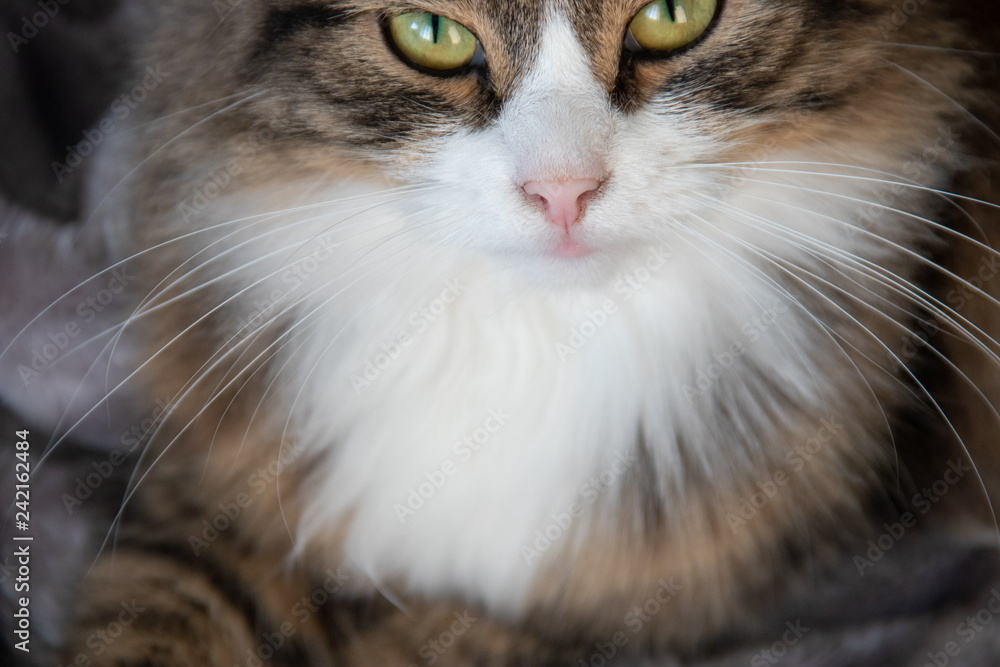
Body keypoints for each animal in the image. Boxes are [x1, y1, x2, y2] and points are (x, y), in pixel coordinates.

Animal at [1, 0, 1000, 664]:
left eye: (674, 13)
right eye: (430, 33)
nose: (562, 190)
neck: (529, 339)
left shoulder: (611, 603)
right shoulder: (224, 491)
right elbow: (153, 617)